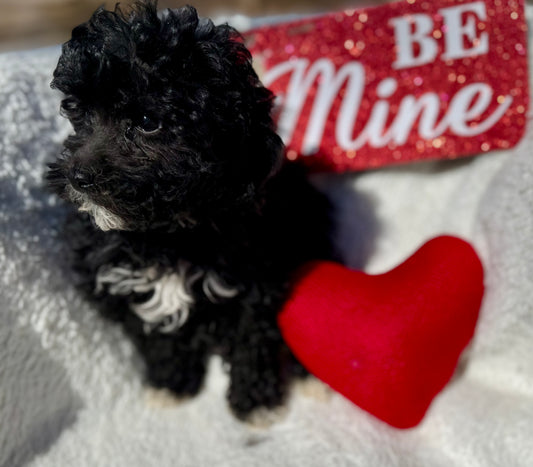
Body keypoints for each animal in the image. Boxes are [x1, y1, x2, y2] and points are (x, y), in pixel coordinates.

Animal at [48, 0, 332, 416]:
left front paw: (256, 402)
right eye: (79, 111)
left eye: (148, 121)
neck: (169, 233)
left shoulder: (254, 276)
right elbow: (159, 337)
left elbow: (252, 336)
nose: (78, 176)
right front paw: (172, 385)